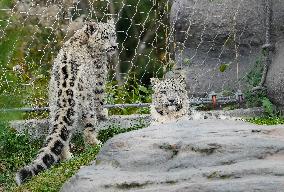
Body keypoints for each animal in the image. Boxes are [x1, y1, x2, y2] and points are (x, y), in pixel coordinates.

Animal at [15, 19, 117, 184]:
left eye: (114, 35)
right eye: (104, 37)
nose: (114, 46)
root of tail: (65, 96)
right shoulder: (99, 78)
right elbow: (101, 99)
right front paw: (104, 113)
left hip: (54, 109)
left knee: (62, 136)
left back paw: (67, 157)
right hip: (87, 105)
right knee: (88, 129)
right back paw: (96, 144)